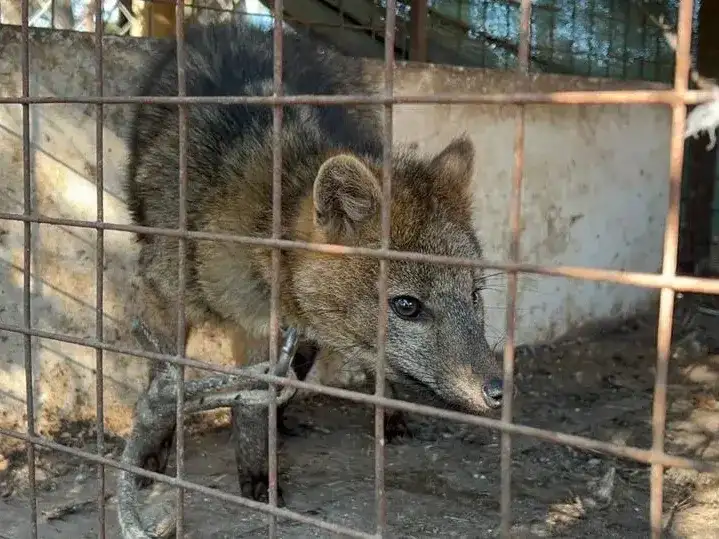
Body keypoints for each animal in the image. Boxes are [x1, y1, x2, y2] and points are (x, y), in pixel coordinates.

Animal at [123, 21, 505, 505]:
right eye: (406, 306)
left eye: (474, 296)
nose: (498, 391)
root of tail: (243, 26)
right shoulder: (168, 299)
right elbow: (166, 383)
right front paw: (154, 451)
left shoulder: (263, 329)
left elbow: (252, 409)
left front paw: (258, 471)